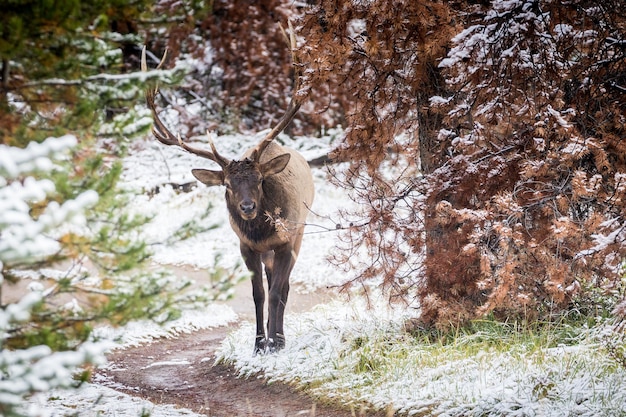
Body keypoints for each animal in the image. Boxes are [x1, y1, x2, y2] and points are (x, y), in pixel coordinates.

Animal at [144, 37, 314, 352]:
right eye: (227, 184)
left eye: (260, 180)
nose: (247, 207)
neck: (261, 233)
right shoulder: (245, 246)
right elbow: (258, 294)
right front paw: (258, 344)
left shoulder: (287, 241)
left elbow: (277, 292)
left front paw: (275, 342)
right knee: (271, 282)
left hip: (301, 231)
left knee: (283, 287)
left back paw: (279, 335)